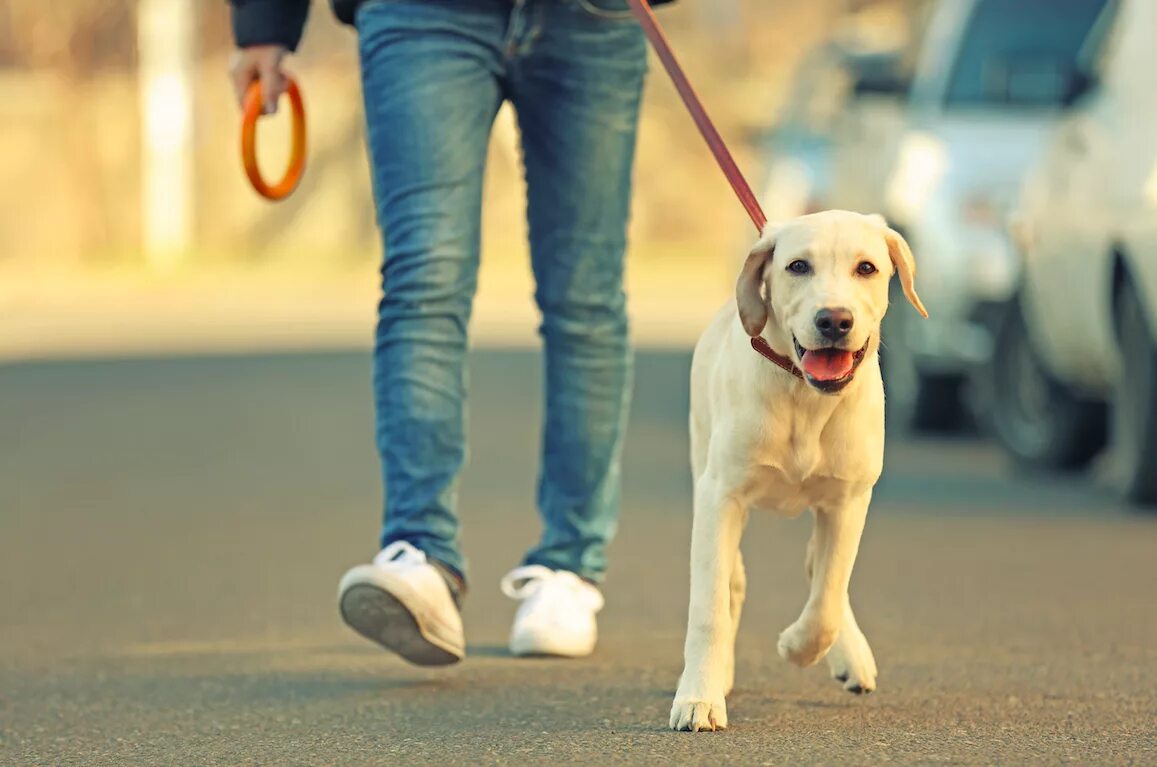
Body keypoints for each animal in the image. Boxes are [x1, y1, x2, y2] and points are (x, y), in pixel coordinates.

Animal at [671, 208, 920, 731]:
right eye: (798, 266)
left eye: (866, 268)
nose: (834, 320)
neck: (804, 397)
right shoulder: (720, 496)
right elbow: (709, 608)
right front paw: (699, 696)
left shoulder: (848, 501)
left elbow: (827, 597)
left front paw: (798, 646)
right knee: (733, 580)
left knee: (823, 572)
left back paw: (851, 656)